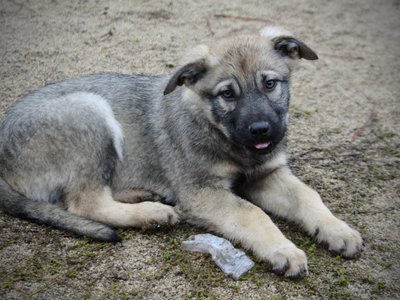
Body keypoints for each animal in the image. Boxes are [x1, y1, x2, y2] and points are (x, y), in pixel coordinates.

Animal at [0, 27, 362, 278]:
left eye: (270, 84)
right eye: (227, 94)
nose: (262, 131)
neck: (221, 135)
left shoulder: (267, 174)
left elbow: (307, 196)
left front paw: (337, 229)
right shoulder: (201, 192)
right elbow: (253, 213)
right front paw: (283, 249)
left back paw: (142, 196)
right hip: (89, 111)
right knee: (84, 203)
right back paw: (151, 213)